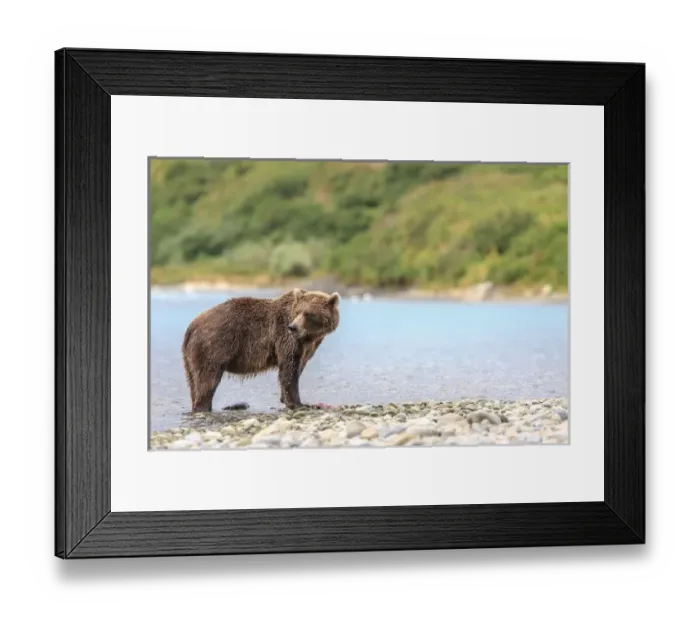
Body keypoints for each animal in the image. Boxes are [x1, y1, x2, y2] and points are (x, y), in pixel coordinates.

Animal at [181, 288, 340, 412]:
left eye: (309, 313)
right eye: (298, 312)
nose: (293, 327)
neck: (309, 337)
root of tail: (192, 326)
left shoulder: (307, 346)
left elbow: (297, 367)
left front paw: (287, 399)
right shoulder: (285, 337)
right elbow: (289, 368)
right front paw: (299, 403)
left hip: (191, 357)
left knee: (194, 382)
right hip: (214, 345)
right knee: (207, 380)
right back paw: (203, 407)